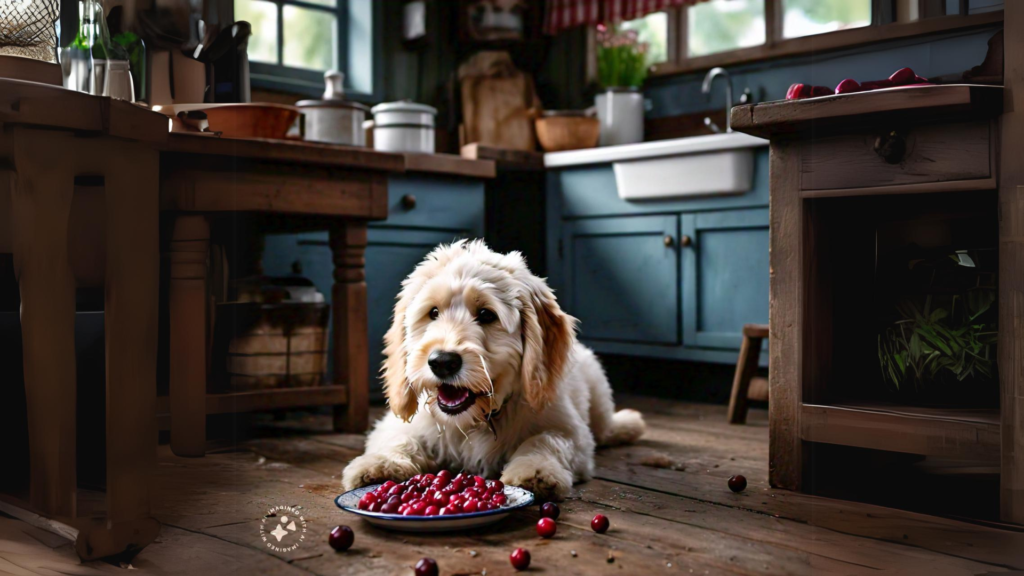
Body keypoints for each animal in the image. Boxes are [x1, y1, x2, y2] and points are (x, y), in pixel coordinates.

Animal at [344, 237, 647, 498]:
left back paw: (628, 424)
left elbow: (547, 440)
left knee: (605, 427)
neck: (476, 420)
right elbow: (399, 438)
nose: (442, 362)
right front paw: (380, 464)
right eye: (433, 313)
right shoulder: (399, 424)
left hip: (598, 393)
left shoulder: (571, 431)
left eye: (486, 315)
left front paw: (536, 470)